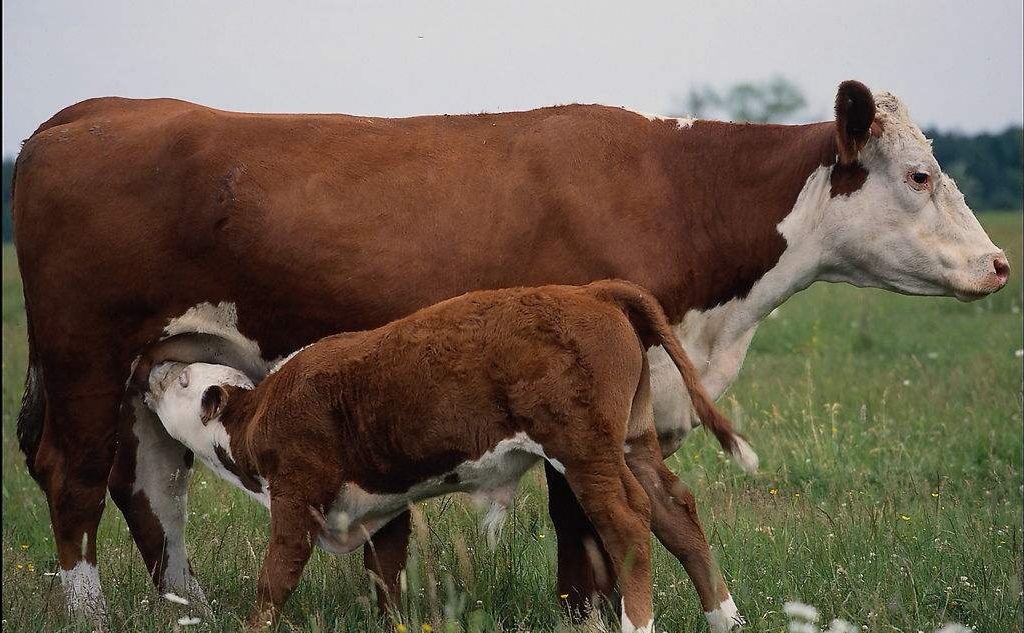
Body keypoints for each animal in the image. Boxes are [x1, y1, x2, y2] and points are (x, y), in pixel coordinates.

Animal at [140, 280, 757, 630]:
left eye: (185, 379)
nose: (154, 369)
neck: (258, 413)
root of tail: (590, 292)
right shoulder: (381, 507)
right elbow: (387, 577)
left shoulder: (295, 497)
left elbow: (274, 580)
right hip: (633, 442)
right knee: (676, 511)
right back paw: (726, 619)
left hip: (585, 452)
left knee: (629, 524)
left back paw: (638, 624)